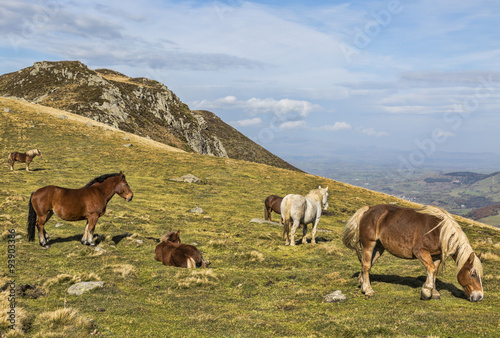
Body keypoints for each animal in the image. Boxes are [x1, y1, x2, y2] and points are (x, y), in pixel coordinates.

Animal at [342, 205, 482, 302]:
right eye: (472, 274)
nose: (479, 296)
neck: (439, 231)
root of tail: (368, 210)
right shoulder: (420, 251)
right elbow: (430, 269)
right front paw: (426, 292)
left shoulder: (436, 256)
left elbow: (434, 271)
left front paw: (434, 292)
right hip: (368, 244)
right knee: (366, 265)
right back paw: (368, 290)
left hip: (379, 248)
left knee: (368, 264)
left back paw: (362, 283)